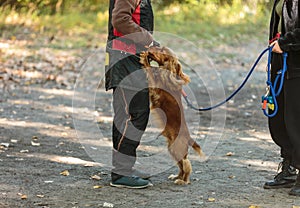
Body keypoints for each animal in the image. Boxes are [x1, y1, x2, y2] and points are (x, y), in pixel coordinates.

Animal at [139, 46, 205, 185]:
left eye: (162, 50)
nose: (149, 48)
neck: (168, 72)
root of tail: (189, 138)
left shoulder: (156, 87)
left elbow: (150, 70)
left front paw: (144, 60)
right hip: (172, 148)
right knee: (180, 165)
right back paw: (176, 176)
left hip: (177, 148)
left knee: (186, 165)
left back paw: (183, 181)